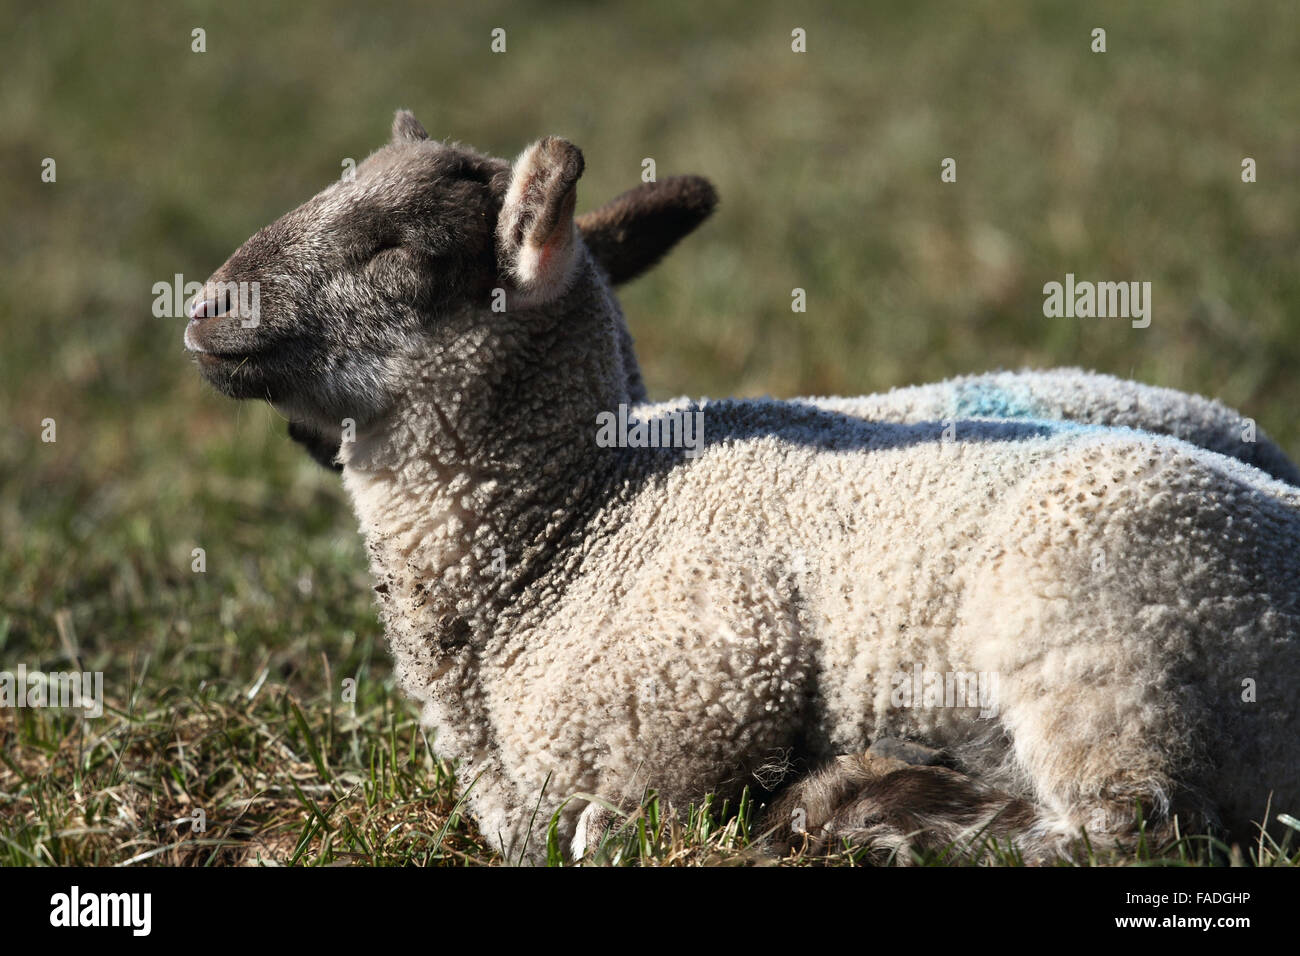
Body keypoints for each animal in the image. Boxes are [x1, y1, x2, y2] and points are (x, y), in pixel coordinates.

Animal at [188, 108, 1300, 863]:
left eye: (401, 249)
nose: (203, 309)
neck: (581, 525)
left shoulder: (719, 670)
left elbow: (613, 828)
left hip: (1101, 639)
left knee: (1129, 826)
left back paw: (862, 811)